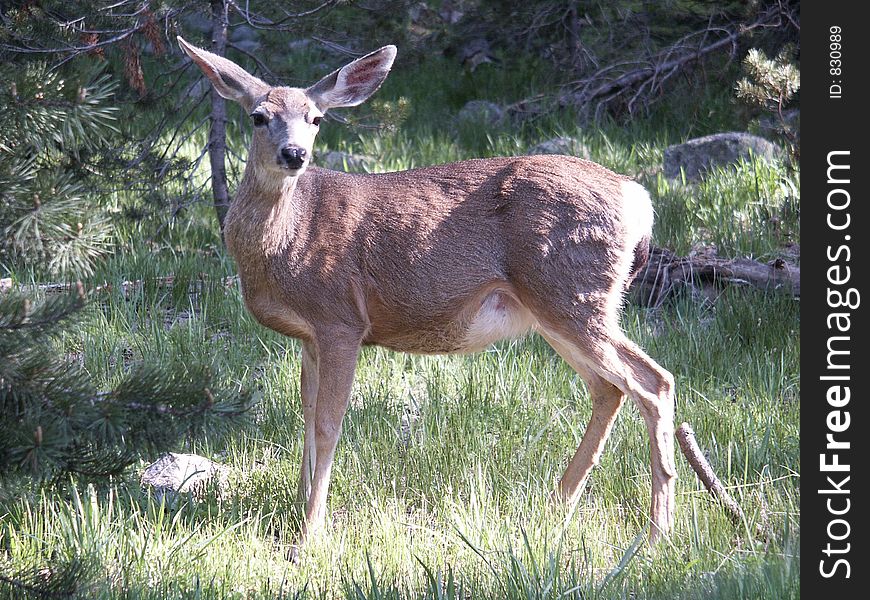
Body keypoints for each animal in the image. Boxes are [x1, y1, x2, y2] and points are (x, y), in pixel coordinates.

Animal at [179, 37, 680, 552]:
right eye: (258, 116)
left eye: (316, 118)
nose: (294, 153)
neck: (286, 240)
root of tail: (638, 197)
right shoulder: (309, 336)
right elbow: (306, 417)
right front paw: (298, 507)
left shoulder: (340, 318)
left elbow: (327, 424)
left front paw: (310, 530)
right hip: (558, 307)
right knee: (609, 388)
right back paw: (556, 503)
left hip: (573, 292)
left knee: (654, 381)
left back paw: (657, 531)